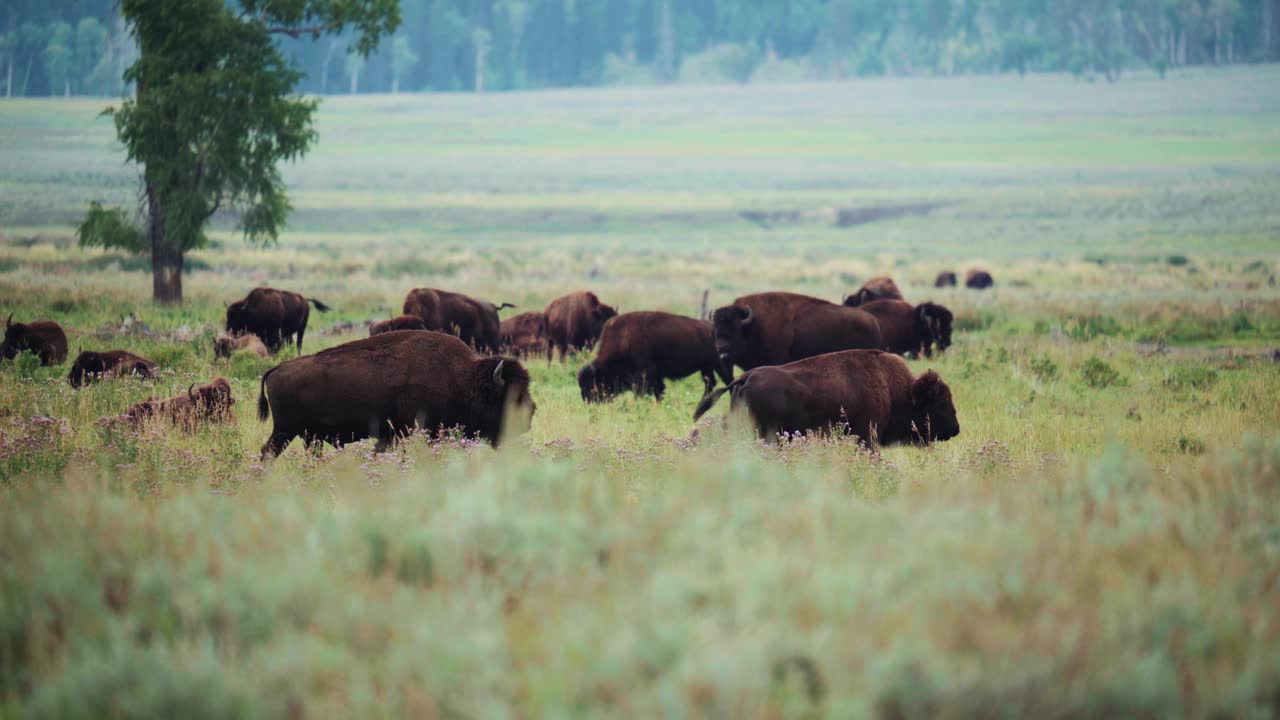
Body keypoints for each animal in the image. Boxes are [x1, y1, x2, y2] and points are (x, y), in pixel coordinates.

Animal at [254, 330, 535, 453]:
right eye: (511, 395)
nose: (530, 413)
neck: (463, 379)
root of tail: (276, 369)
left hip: (305, 435)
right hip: (285, 431)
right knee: (268, 452)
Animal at [578, 310, 732, 404]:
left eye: (592, 384)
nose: (588, 402)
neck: (623, 339)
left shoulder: (645, 374)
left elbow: (645, 392)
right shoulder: (656, 377)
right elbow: (659, 391)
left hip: (720, 365)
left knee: (728, 382)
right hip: (706, 368)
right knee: (710, 383)